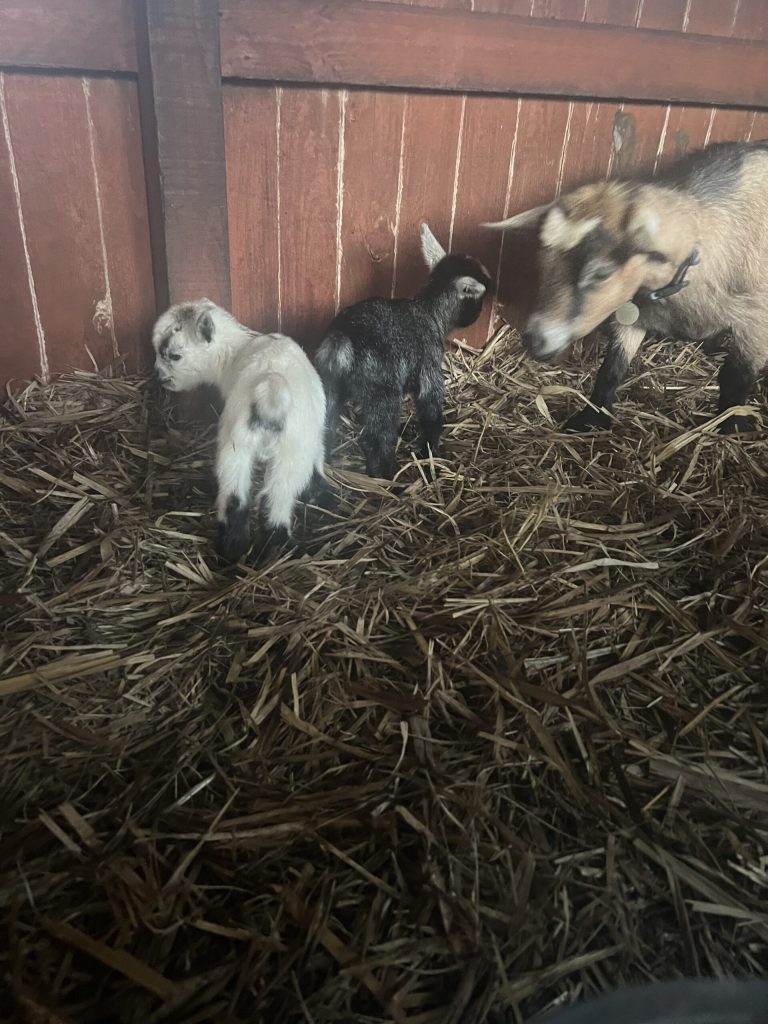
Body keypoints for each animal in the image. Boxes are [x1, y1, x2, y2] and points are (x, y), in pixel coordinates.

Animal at [152, 300, 326, 562]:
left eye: (174, 355)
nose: (159, 377)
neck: (235, 353)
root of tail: (271, 389)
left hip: (240, 446)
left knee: (237, 499)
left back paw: (232, 552)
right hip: (280, 452)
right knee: (272, 502)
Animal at [314, 223, 491, 478]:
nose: (476, 316)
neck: (430, 311)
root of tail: (343, 338)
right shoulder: (430, 372)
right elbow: (431, 413)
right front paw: (431, 453)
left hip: (329, 384)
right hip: (383, 392)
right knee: (374, 442)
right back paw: (387, 478)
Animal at [486, 140, 768, 434]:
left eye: (601, 273)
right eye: (544, 261)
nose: (535, 340)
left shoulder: (756, 323)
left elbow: (735, 377)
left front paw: (733, 424)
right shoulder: (636, 314)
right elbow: (612, 367)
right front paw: (591, 418)